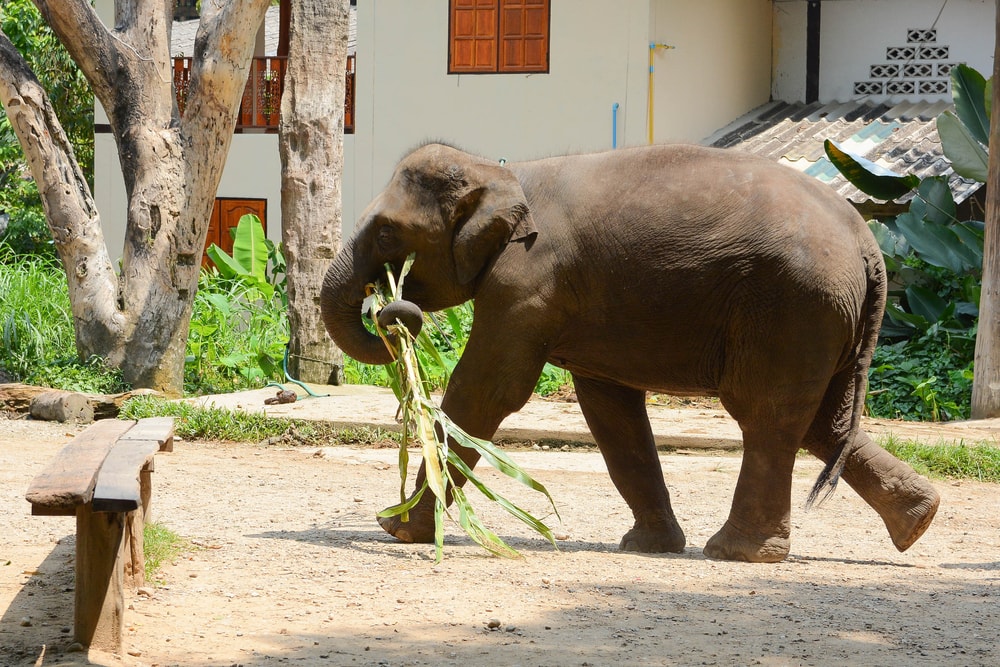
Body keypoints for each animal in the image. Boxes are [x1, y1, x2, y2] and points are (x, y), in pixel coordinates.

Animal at [320, 142, 940, 563]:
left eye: (386, 234)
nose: (392, 304)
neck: (501, 170)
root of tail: (869, 245)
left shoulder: (527, 284)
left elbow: (489, 389)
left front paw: (399, 530)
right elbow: (609, 411)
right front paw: (647, 546)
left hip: (794, 308)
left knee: (767, 416)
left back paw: (735, 552)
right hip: (829, 320)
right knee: (821, 424)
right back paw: (918, 522)